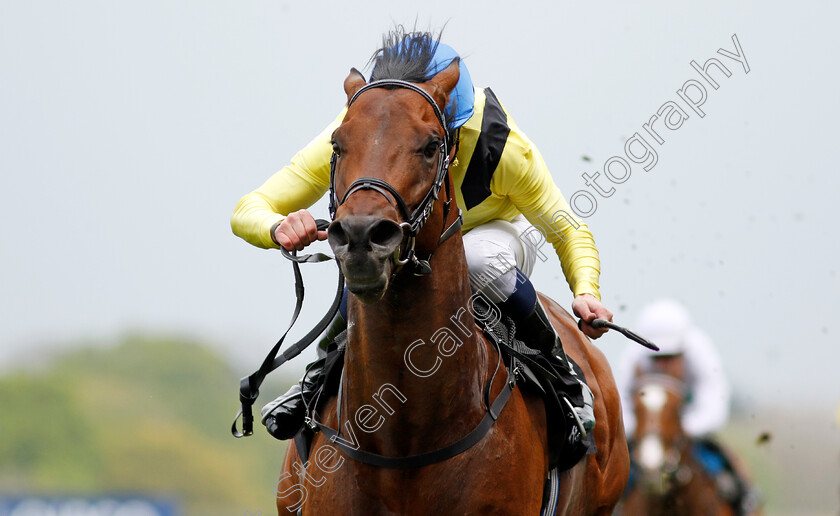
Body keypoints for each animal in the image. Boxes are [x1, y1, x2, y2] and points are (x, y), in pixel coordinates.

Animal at [276, 56, 632, 516]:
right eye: (337, 145)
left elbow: (567, 227)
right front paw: (293, 228)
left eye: (431, 146)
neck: (404, 435)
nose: (360, 236)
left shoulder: (515, 159)